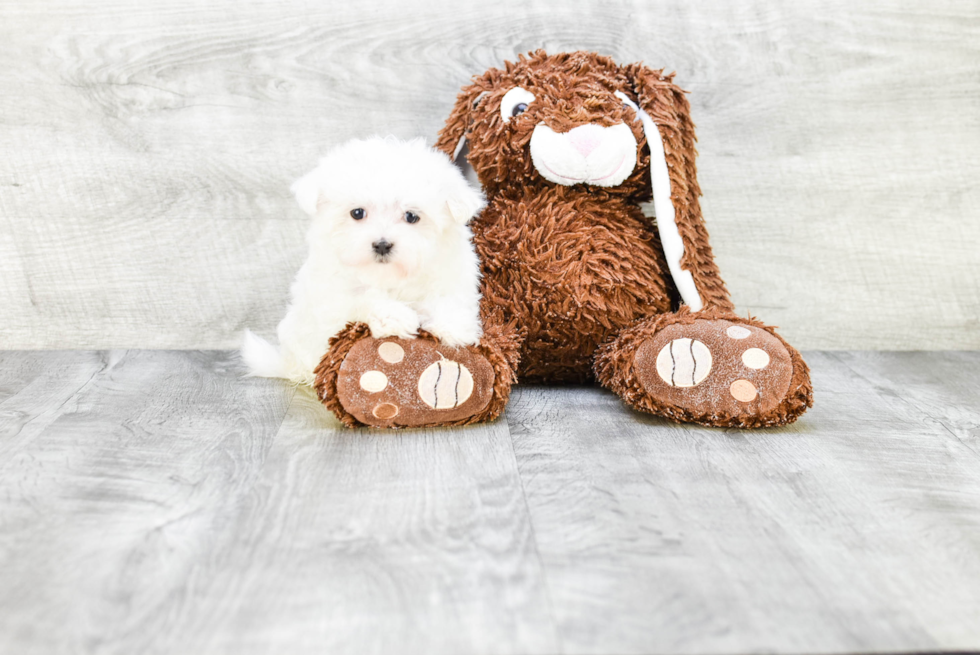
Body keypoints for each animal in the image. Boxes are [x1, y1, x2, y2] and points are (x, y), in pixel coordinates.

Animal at [242, 136, 486, 386]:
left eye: (411, 216)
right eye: (357, 213)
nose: (382, 244)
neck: (389, 276)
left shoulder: (451, 273)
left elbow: (448, 299)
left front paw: (453, 327)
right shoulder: (332, 295)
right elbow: (363, 298)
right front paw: (396, 317)